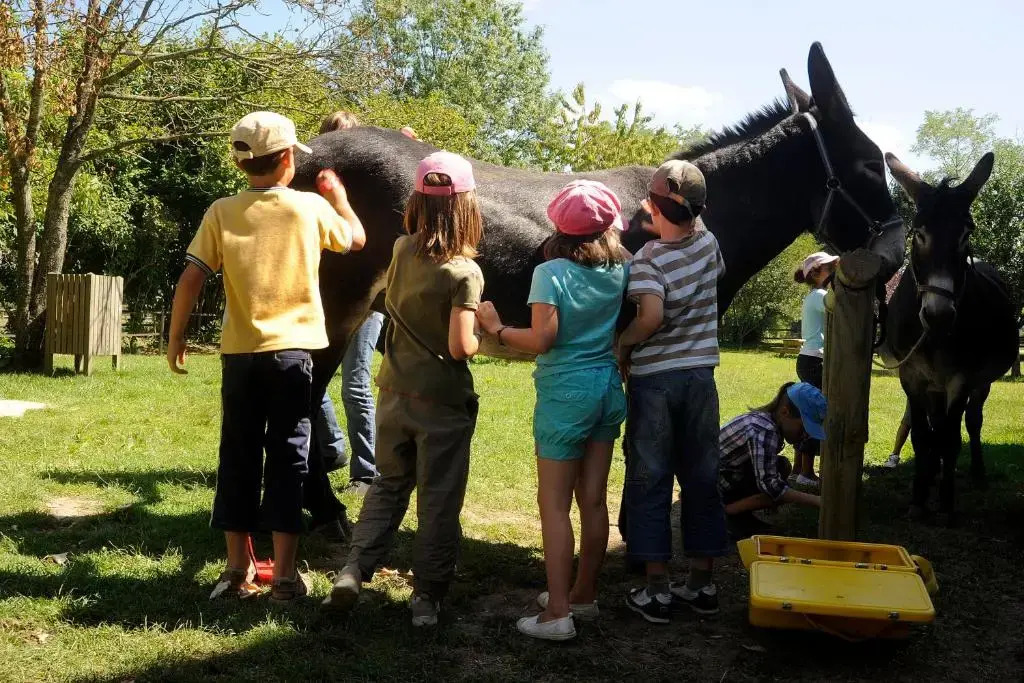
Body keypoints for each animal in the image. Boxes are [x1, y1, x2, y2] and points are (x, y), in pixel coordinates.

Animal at [882, 151, 1018, 524]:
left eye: (966, 233)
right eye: (918, 233)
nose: (938, 315)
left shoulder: (960, 379)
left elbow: (952, 438)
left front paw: (945, 504)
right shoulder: (911, 376)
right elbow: (922, 437)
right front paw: (918, 498)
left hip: (979, 383)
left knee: (971, 422)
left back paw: (975, 474)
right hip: (933, 386)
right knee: (936, 427)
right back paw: (931, 476)